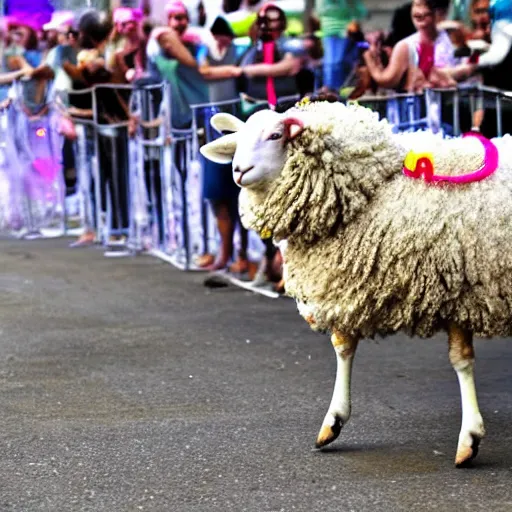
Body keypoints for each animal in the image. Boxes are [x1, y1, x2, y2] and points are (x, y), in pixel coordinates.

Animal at [199, 100, 512, 468]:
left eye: (276, 135)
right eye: (239, 140)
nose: (238, 170)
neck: (376, 191)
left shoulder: (456, 288)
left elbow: (460, 360)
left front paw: (469, 438)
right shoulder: (348, 285)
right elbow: (343, 347)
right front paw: (332, 422)